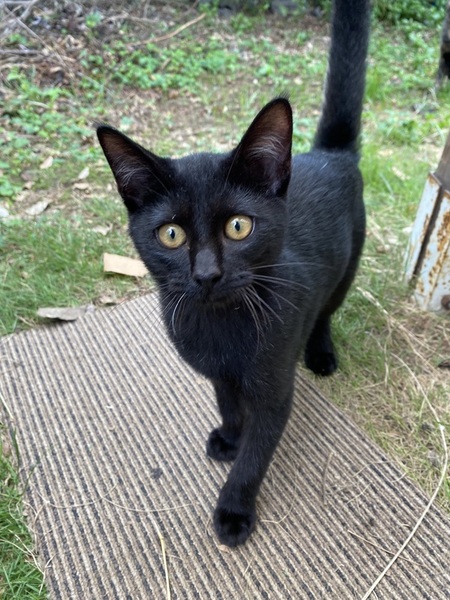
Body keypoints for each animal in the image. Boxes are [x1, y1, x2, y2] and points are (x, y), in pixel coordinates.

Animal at [97, 0, 371, 547]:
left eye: (239, 227)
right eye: (172, 235)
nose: (206, 274)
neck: (219, 326)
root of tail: (330, 154)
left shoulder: (274, 392)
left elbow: (255, 457)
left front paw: (234, 510)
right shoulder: (217, 372)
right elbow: (226, 400)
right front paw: (229, 434)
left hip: (347, 265)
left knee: (327, 310)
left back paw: (322, 352)